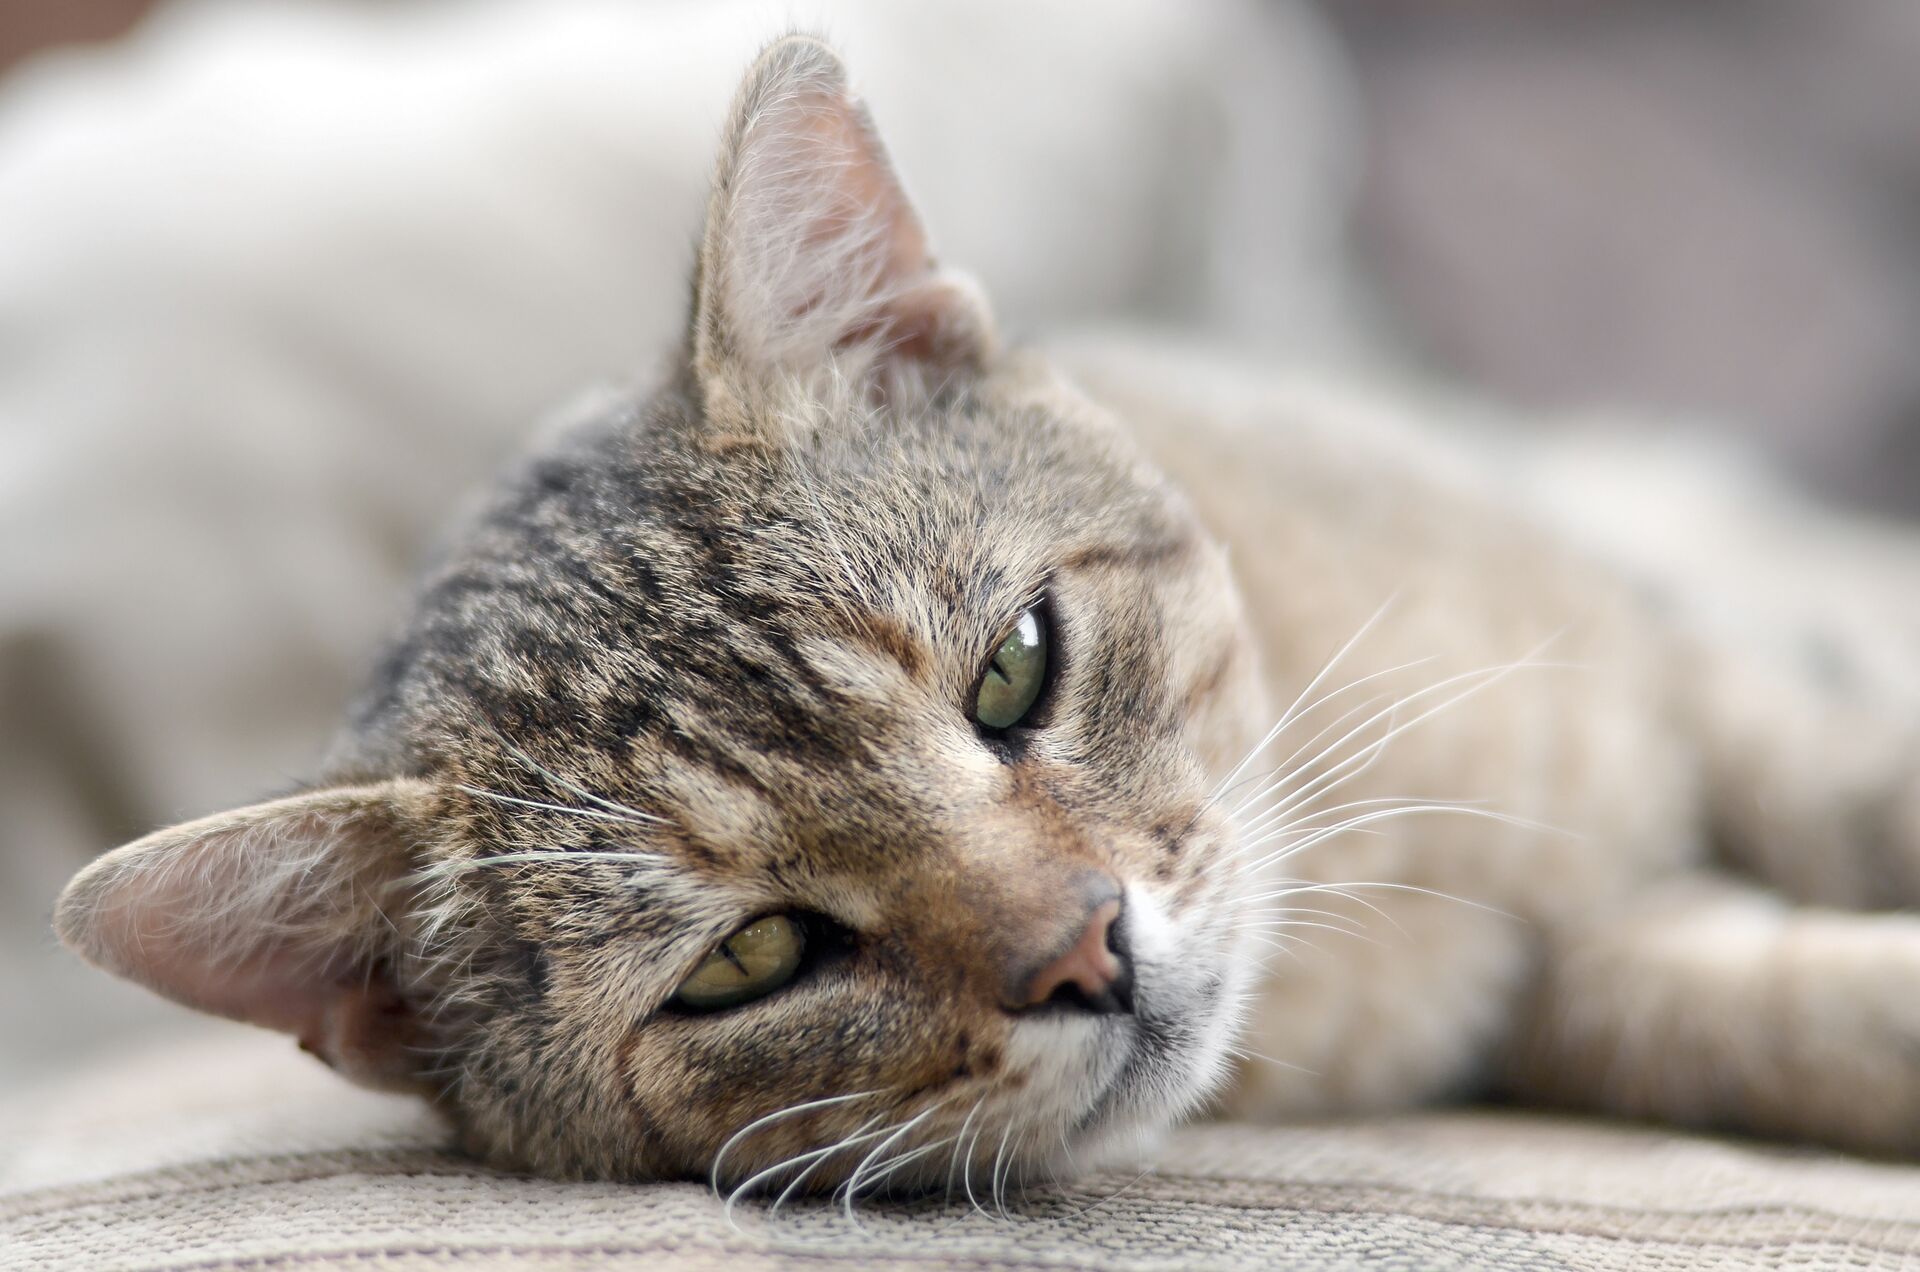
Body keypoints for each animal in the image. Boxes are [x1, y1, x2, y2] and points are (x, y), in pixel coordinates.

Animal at [52, 34, 1920, 1198]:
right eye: (751, 956)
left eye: (1016, 668)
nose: (1087, 950)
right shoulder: (1585, 971)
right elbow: (1745, 1014)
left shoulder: (1682, 641)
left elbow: (1838, 773)